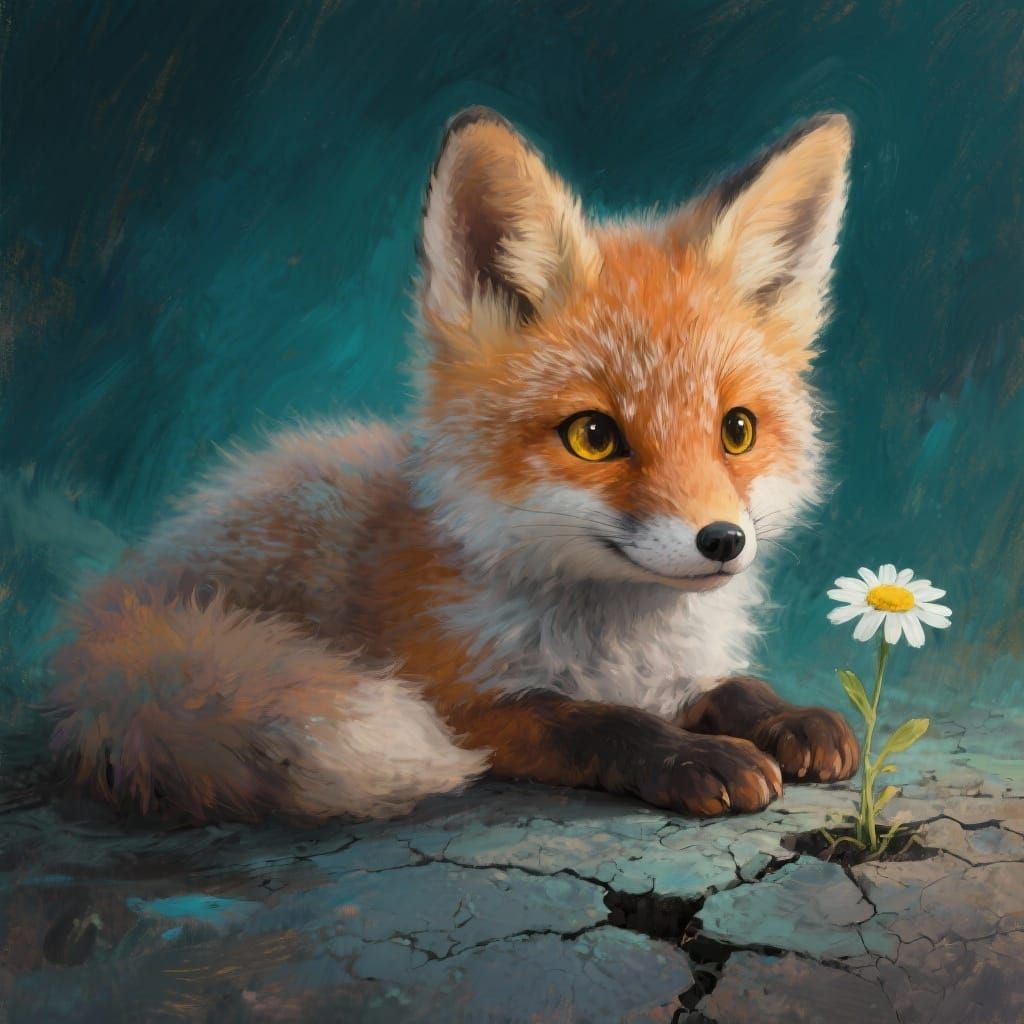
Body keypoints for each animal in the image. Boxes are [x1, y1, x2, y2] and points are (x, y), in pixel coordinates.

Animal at [45, 107, 860, 826]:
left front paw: (788, 717)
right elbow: (593, 720)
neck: (616, 637)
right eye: (594, 436)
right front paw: (692, 756)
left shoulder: (674, 671)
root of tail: (125, 592)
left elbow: (730, 687)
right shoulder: (465, 703)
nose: (723, 541)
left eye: (737, 430)